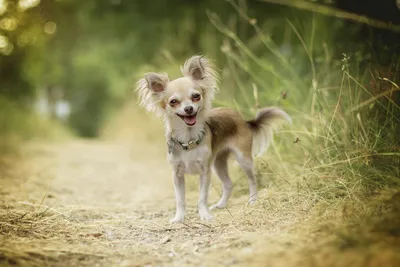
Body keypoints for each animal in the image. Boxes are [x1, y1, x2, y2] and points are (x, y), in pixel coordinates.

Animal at [135, 55, 290, 223]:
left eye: (196, 96)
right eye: (173, 102)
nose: (188, 108)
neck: (189, 138)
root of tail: (243, 120)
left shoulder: (205, 172)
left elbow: (202, 198)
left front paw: (204, 215)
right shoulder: (177, 175)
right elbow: (180, 200)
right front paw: (179, 218)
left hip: (243, 160)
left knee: (252, 180)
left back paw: (253, 200)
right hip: (218, 164)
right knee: (228, 184)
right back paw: (221, 205)